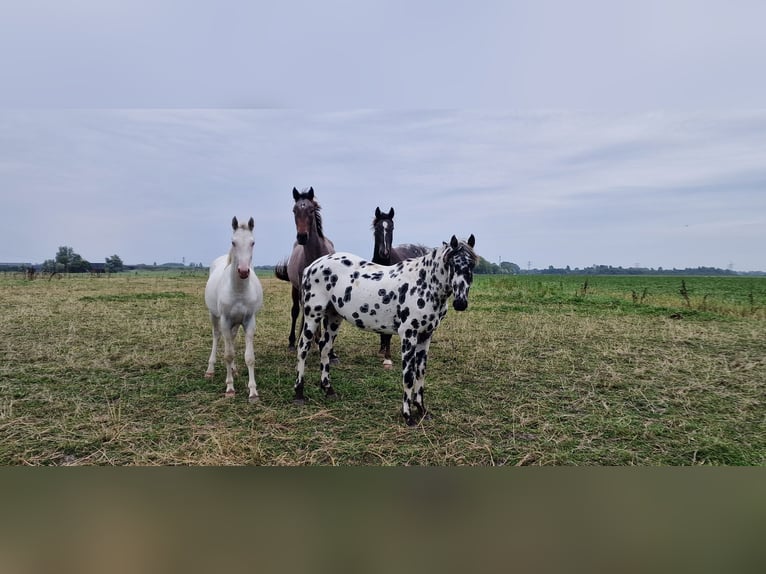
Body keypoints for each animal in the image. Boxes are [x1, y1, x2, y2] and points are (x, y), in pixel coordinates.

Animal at [206, 217, 266, 404]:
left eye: (253, 242)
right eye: (233, 242)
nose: (244, 271)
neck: (238, 290)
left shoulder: (249, 321)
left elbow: (249, 357)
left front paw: (253, 392)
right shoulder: (225, 320)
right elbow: (228, 354)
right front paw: (230, 388)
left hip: (236, 323)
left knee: (231, 339)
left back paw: (233, 369)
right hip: (214, 316)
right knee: (217, 337)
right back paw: (210, 370)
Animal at [276, 188, 336, 352]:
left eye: (311, 210)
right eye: (294, 210)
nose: (302, 236)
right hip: (296, 288)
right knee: (296, 311)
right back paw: (294, 341)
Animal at [296, 234, 476, 428]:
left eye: (472, 265)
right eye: (452, 263)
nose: (460, 303)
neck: (424, 284)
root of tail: (311, 266)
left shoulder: (426, 336)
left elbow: (420, 372)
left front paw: (422, 410)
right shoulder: (409, 335)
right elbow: (409, 375)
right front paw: (408, 416)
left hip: (333, 317)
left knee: (325, 348)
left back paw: (328, 389)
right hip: (313, 315)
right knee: (303, 348)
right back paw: (298, 393)